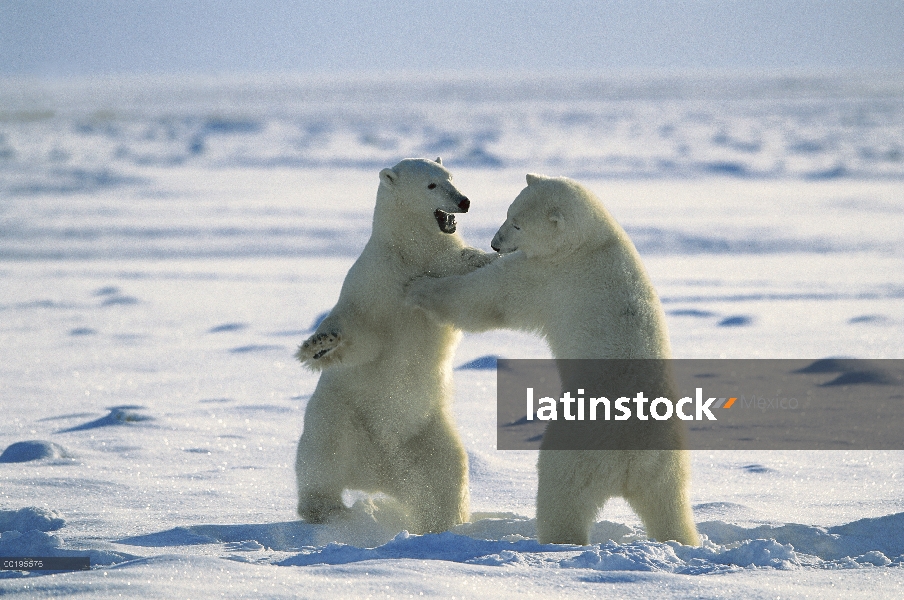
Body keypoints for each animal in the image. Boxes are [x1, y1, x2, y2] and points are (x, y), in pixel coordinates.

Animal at [294, 158, 494, 536]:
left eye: (451, 177)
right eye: (431, 185)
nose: (463, 201)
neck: (407, 252)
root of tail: (380, 474)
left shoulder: (436, 266)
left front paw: (490, 258)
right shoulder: (374, 283)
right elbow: (362, 336)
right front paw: (319, 345)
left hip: (427, 433)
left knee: (446, 474)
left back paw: (443, 524)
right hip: (337, 414)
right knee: (320, 461)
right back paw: (329, 512)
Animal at [406, 175, 704, 548]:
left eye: (517, 223)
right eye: (509, 212)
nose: (494, 244)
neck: (591, 242)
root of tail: (631, 456)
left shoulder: (549, 275)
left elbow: (488, 297)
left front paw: (418, 286)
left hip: (578, 445)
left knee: (562, 492)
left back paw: (555, 540)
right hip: (667, 462)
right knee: (669, 506)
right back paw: (681, 539)